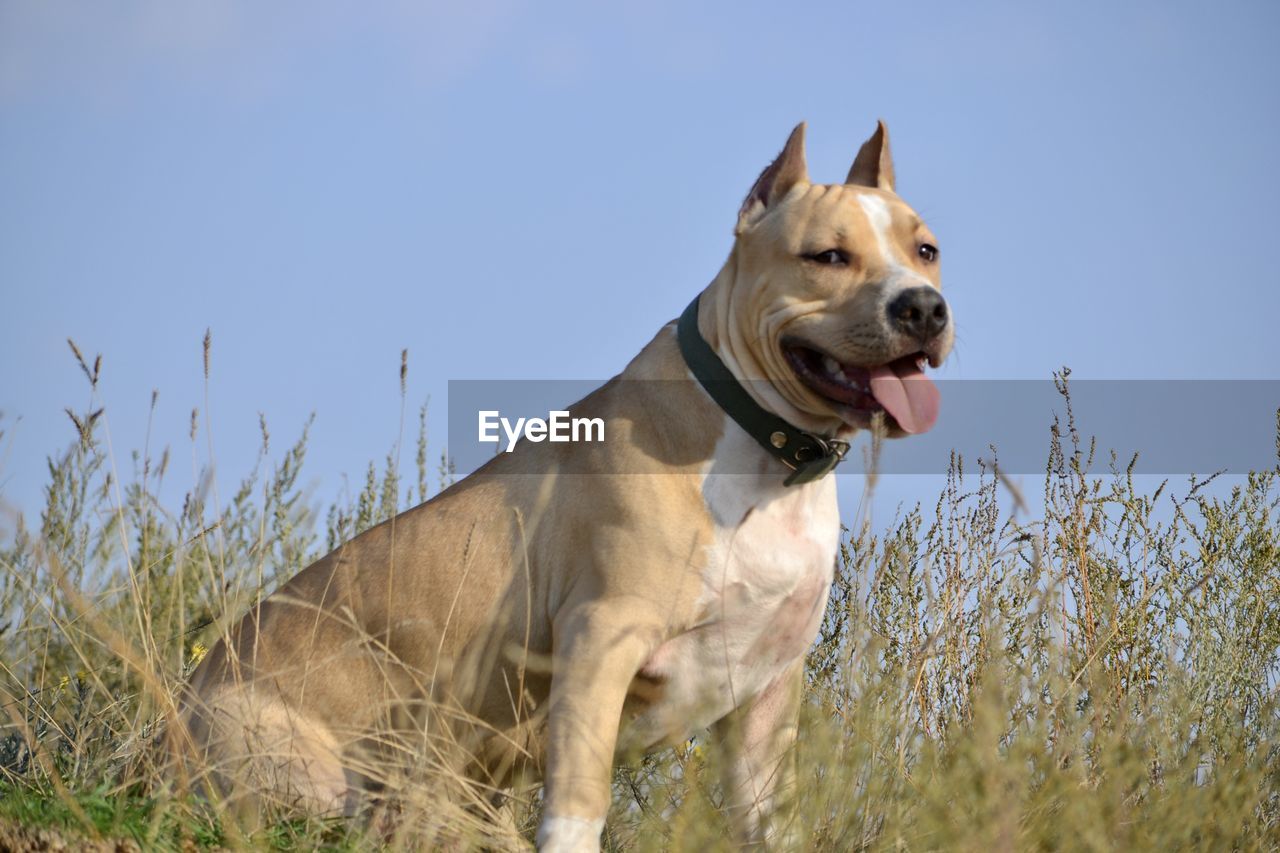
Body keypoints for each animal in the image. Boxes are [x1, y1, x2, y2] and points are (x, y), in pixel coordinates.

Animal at [185, 121, 957, 850]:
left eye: (926, 250)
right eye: (828, 256)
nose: (923, 307)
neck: (766, 456)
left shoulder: (766, 689)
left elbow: (771, 823)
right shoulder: (599, 641)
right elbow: (578, 803)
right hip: (296, 774)